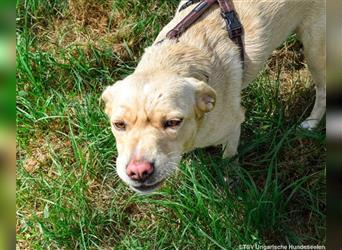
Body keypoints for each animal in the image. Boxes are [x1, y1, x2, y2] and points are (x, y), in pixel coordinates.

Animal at [100, 0, 324, 193]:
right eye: (118, 124)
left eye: (173, 122)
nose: (138, 171)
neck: (172, 61)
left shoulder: (233, 126)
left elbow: (229, 157)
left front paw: (230, 178)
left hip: (314, 49)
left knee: (322, 91)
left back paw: (311, 123)